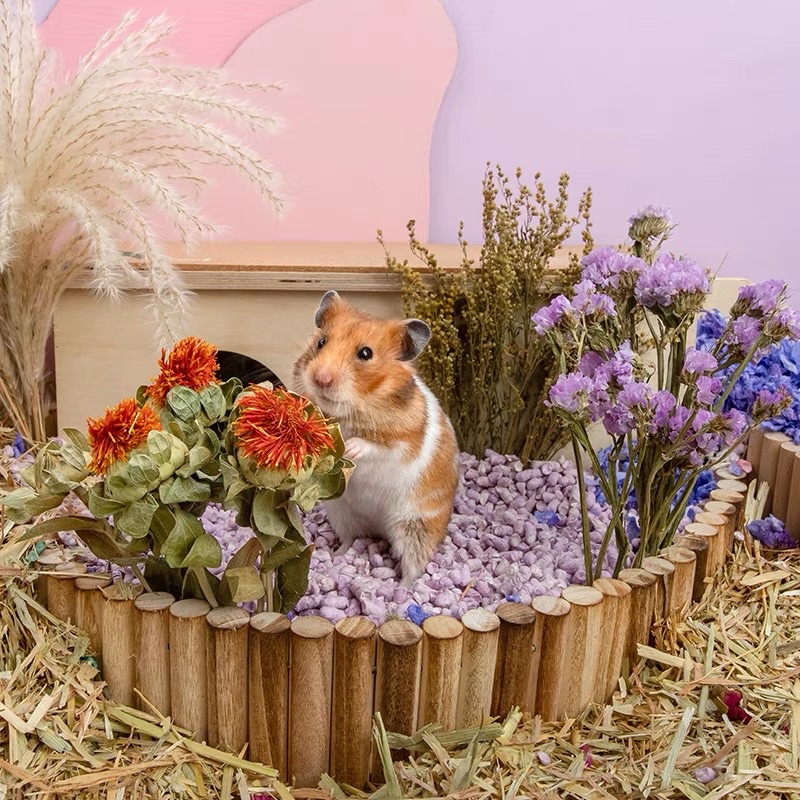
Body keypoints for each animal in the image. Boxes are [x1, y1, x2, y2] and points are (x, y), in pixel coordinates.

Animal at [293, 290, 459, 587]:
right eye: (322, 342)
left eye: (365, 353)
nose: (321, 379)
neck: (349, 411)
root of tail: (379, 527)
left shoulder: (403, 444)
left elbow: (376, 447)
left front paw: (350, 449)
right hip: (341, 512)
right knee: (350, 539)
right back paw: (335, 555)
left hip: (416, 527)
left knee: (414, 565)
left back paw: (401, 589)